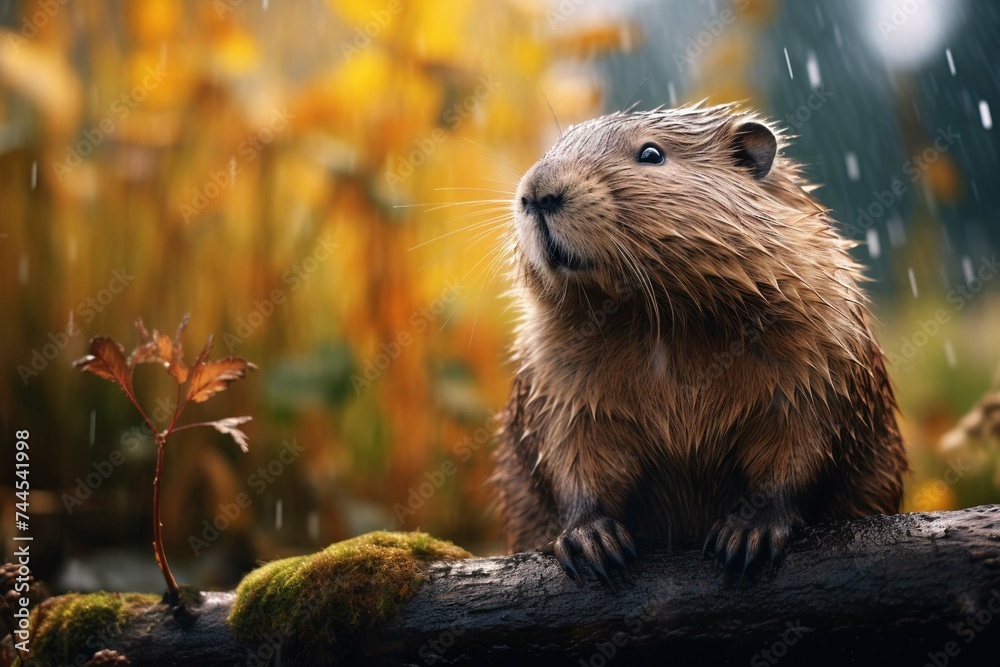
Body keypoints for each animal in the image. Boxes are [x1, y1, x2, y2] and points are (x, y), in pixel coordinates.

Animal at [496, 102, 912, 588]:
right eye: (552, 149)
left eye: (652, 153)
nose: (538, 193)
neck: (662, 325)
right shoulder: (553, 374)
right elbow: (569, 453)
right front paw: (590, 540)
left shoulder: (824, 348)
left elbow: (804, 443)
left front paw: (749, 534)